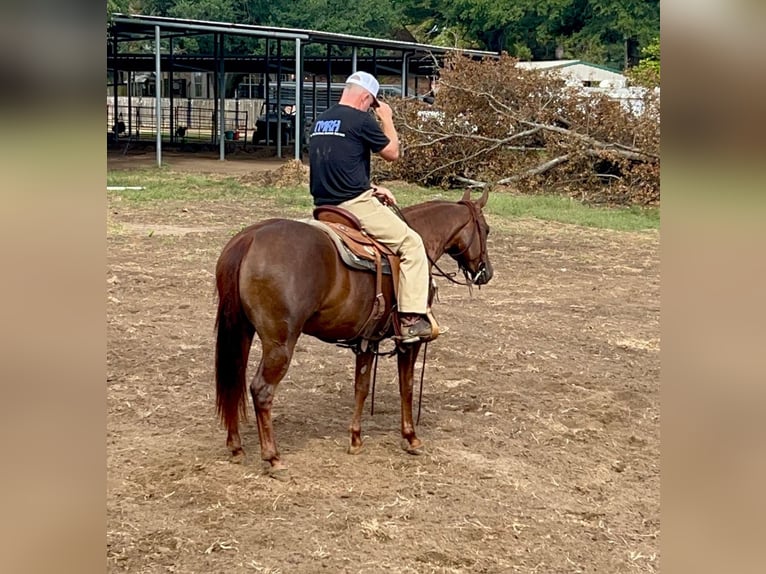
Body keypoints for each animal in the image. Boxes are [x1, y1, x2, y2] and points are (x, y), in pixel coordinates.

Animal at [213, 187, 496, 474]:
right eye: (485, 229)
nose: (486, 273)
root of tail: (249, 238)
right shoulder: (409, 342)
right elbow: (406, 386)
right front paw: (411, 438)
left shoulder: (367, 339)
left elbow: (361, 386)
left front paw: (356, 439)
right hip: (280, 343)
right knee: (261, 390)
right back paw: (272, 457)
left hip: (241, 331)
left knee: (233, 381)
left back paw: (236, 447)